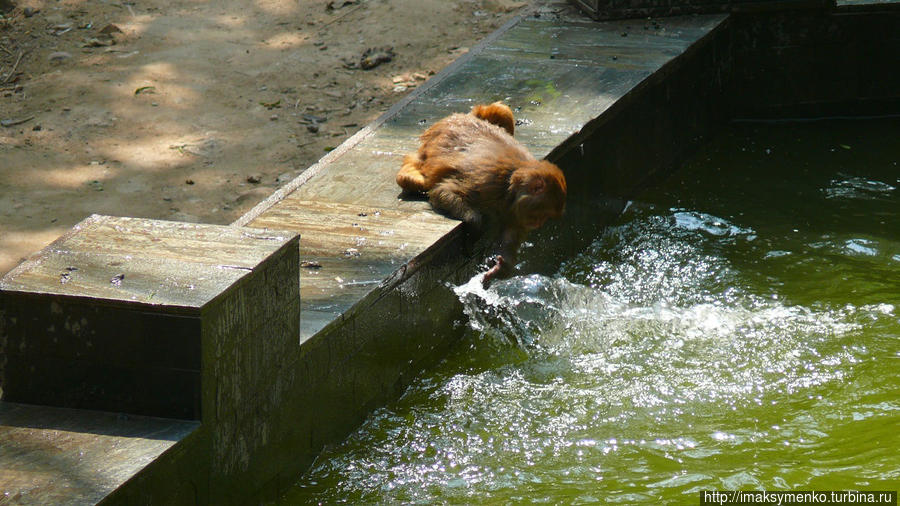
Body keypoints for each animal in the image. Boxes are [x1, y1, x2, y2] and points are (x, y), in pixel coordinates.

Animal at [398, 101, 568, 286]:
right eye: (542, 214)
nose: (538, 224)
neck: (510, 184)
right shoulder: (488, 184)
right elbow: (442, 191)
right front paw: (474, 227)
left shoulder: (515, 208)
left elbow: (511, 232)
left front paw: (500, 267)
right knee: (409, 179)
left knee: (501, 110)